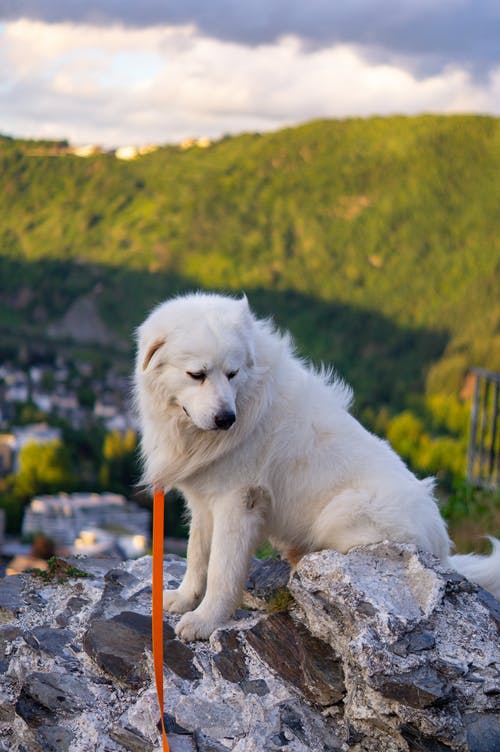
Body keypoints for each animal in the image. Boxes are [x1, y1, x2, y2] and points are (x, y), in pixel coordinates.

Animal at [134, 294, 500, 640]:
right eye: (197, 375)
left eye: (232, 374)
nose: (226, 419)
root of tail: (444, 550)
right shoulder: (204, 501)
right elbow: (198, 555)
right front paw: (184, 599)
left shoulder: (238, 503)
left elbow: (222, 570)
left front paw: (206, 621)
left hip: (343, 513)